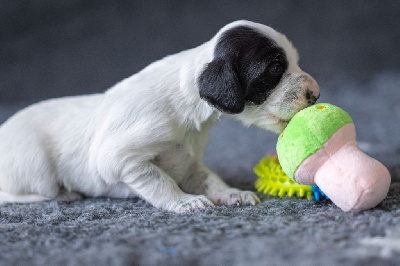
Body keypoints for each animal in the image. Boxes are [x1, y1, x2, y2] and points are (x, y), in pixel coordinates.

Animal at [0, 20, 318, 212]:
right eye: (275, 69)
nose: (315, 94)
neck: (191, 109)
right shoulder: (121, 158)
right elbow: (160, 181)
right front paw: (186, 202)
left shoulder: (190, 162)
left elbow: (209, 178)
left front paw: (231, 192)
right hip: (36, 165)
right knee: (17, 193)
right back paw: (62, 193)